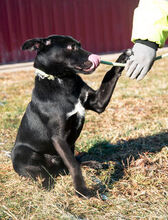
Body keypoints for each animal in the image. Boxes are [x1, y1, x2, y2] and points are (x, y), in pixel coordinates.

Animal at [11, 35, 130, 197]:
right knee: (44, 173)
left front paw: (122, 58)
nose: (97, 57)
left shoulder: (98, 102)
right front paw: (82, 190)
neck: (63, 81)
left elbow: (109, 75)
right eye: (70, 47)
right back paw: (46, 183)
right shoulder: (59, 137)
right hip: (23, 152)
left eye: (79, 45)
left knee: (70, 164)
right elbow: (73, 165)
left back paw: (94, 164)